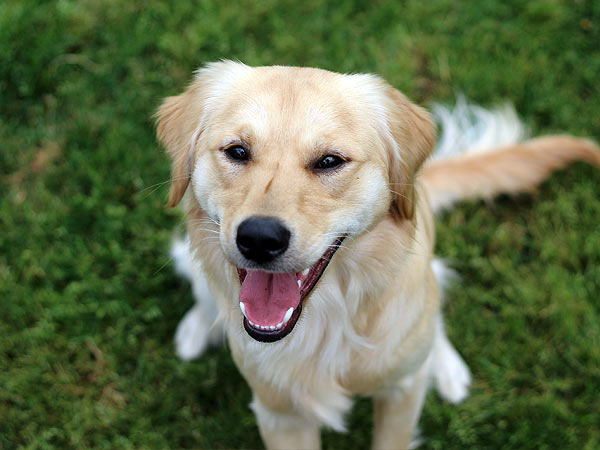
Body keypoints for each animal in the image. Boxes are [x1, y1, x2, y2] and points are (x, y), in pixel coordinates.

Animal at [156, 61, 600, 448]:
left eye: (330, 161)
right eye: (237, 151)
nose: (260, 239)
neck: (327, 322)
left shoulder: (401, 394)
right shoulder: (280, 413)